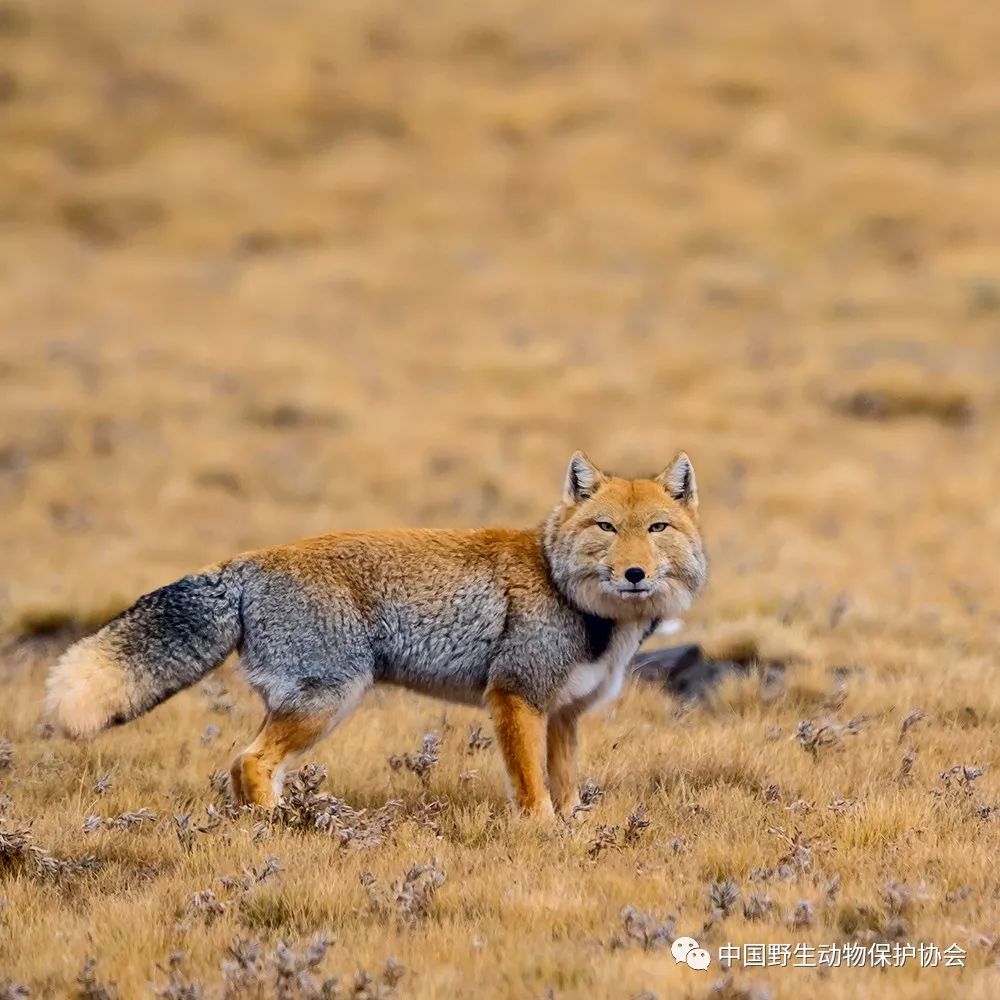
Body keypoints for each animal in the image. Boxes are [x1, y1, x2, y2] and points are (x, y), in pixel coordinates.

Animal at [45, 450, 704, 816]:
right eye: (606, 528)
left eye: (657, 528)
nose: (635, 573)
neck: (569, 592)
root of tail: (249, 559)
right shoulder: (515, 696)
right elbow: (532, 789)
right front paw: (541, 833)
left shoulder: (564, 712)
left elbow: (566, 789)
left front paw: (571, 832)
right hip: (328, 700)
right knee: (249, 763)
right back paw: (279, 830)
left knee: (241, 767)